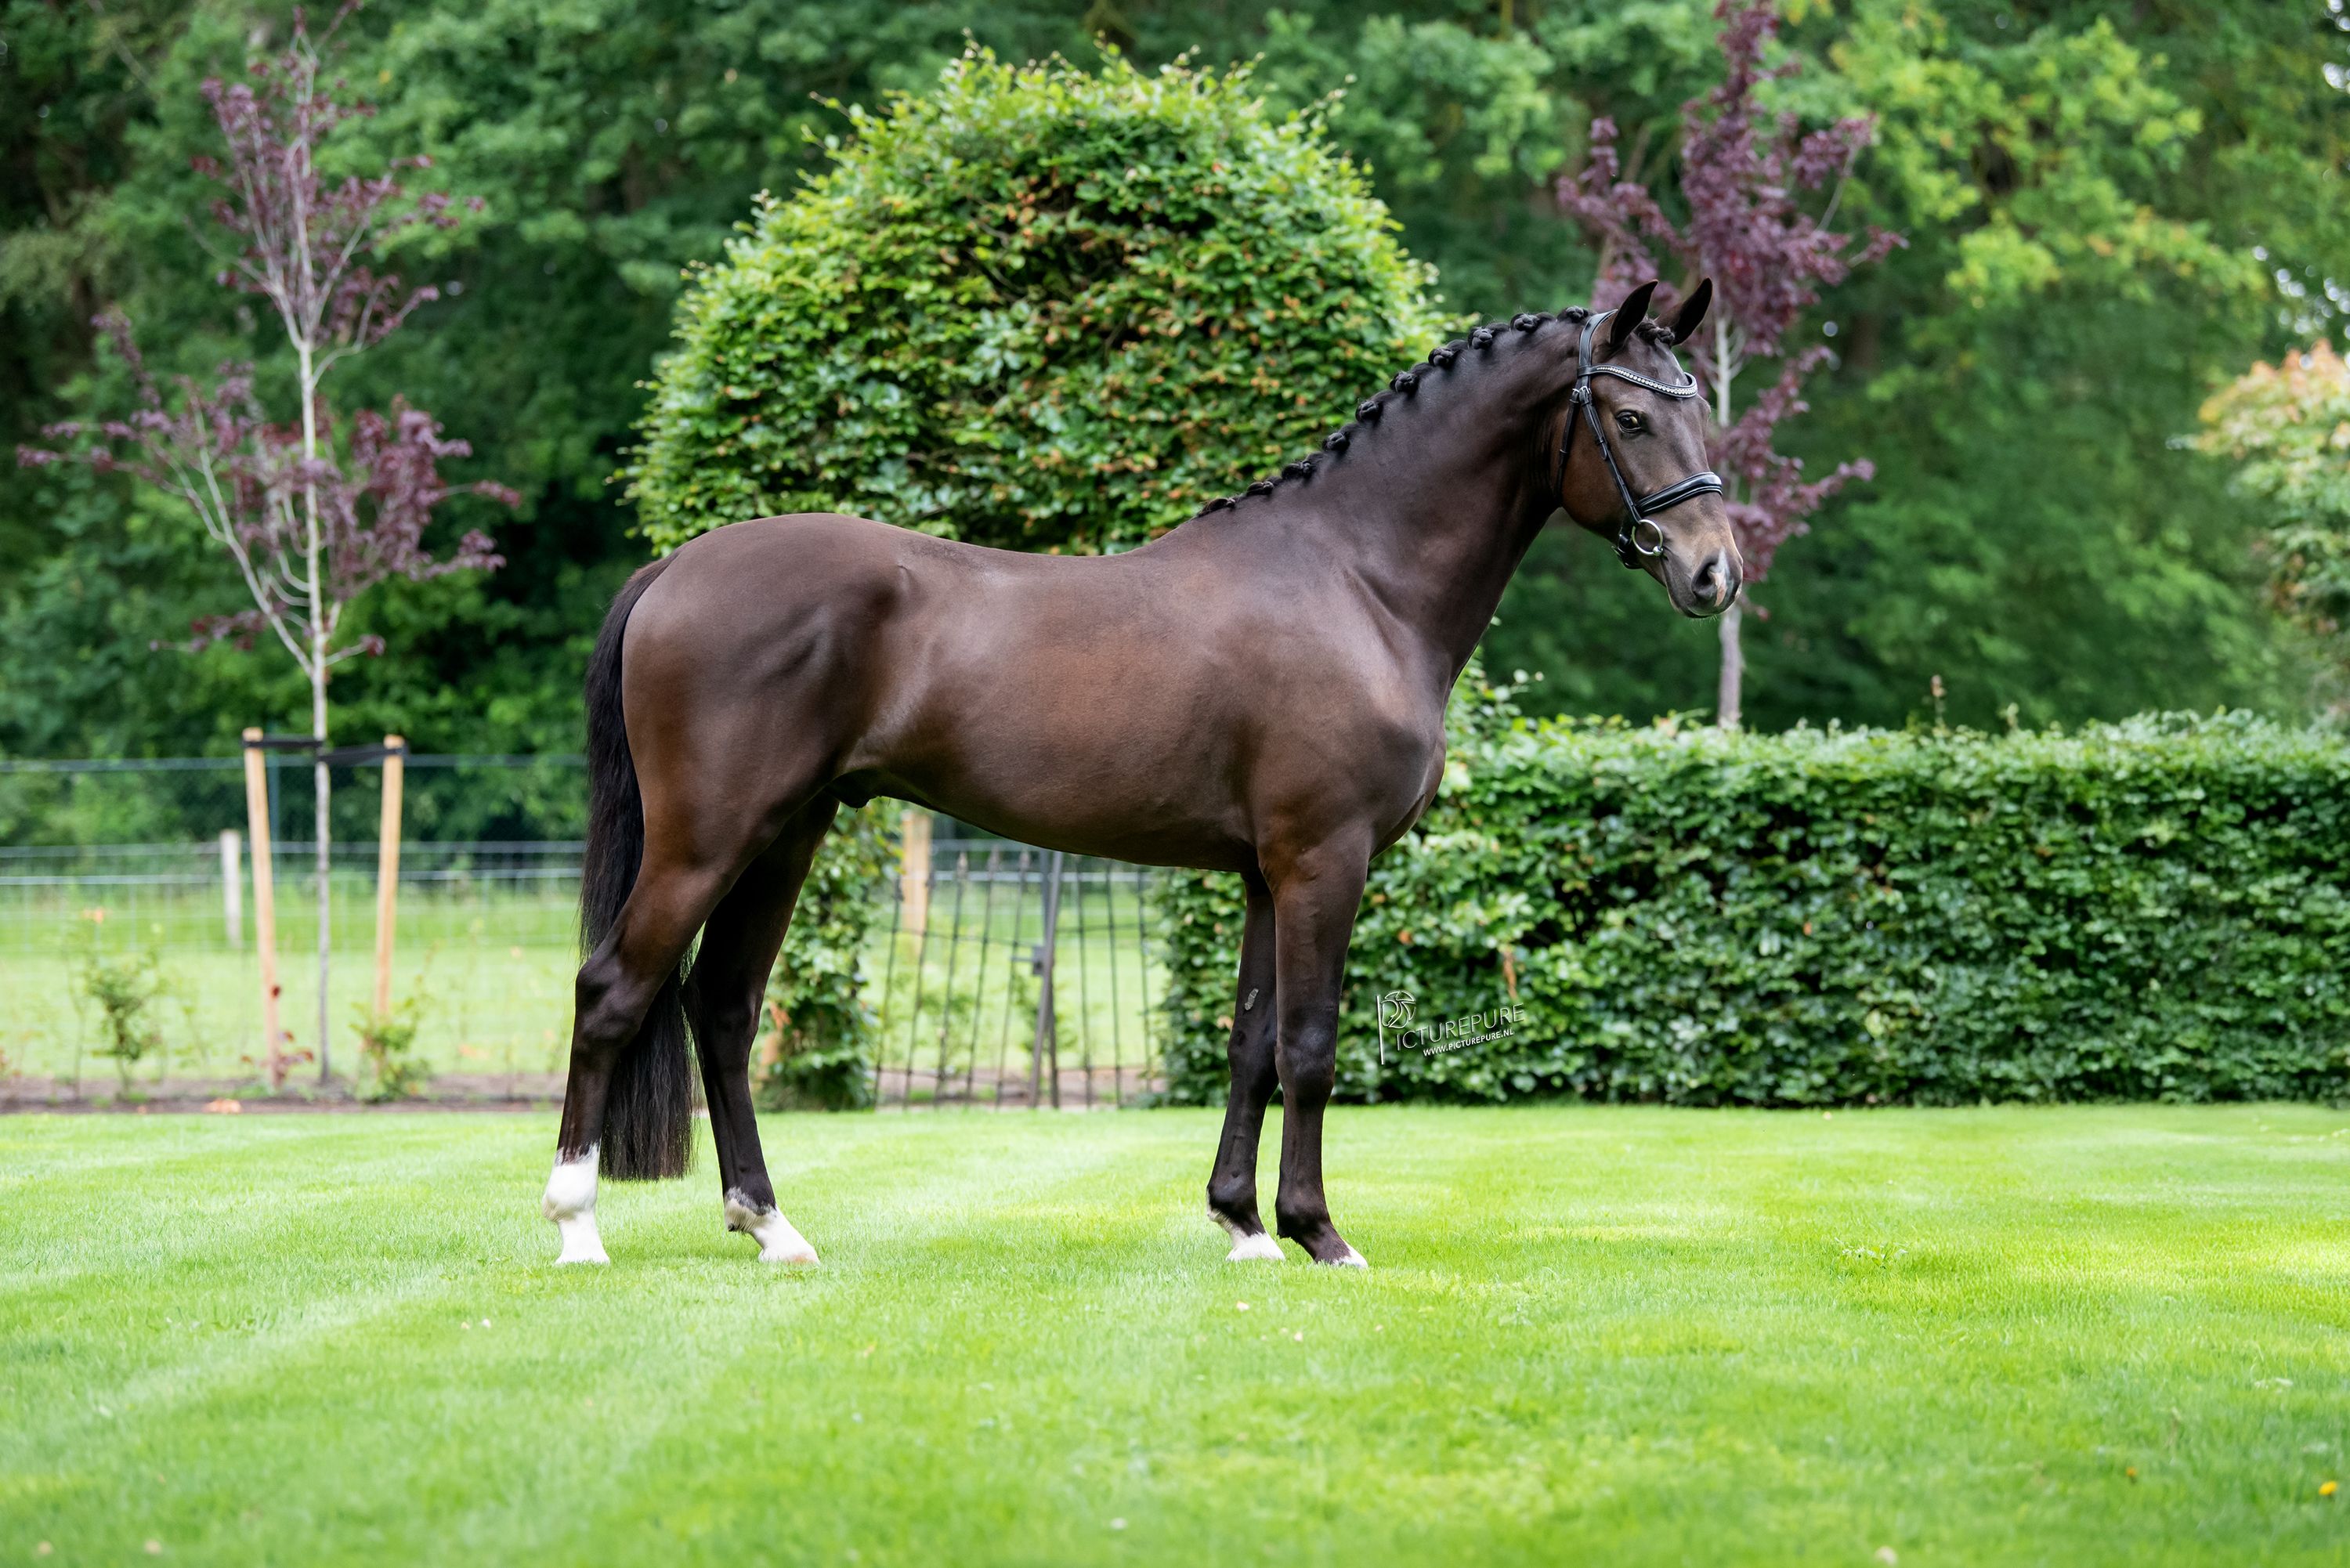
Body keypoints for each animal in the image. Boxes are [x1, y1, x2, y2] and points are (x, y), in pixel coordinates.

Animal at [541, 278, 1741, 1268]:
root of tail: (675, 567)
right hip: (708, 838)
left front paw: (1244, 1225)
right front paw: (1320, 1234)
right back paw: (577, 1227)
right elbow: (1312, 1045)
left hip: (786, 833)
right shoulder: (1325, 859)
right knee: (613, 992)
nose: (1714, 573)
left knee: (723, 1007)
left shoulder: (1266, 873)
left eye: (1701, 409)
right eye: (1631, 417)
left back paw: (771, 1226)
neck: (1356, 577)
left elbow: (1253, 1043)